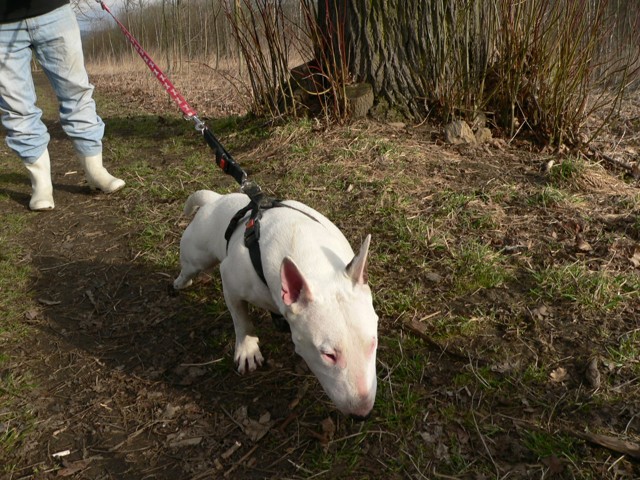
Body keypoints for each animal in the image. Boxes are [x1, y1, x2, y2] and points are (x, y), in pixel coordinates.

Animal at [173, 190, 378, 418]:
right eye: (328, 355)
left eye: (373, 343)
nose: (361, 414)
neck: (312, 262)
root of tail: (216, 200)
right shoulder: (230, 280)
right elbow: (241, 318)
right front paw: (247, 348)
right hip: (196, 255)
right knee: (189, 268)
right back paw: (181, 282)